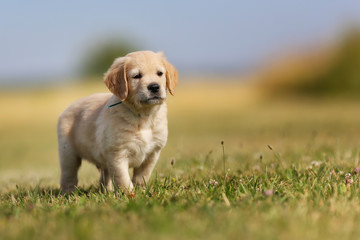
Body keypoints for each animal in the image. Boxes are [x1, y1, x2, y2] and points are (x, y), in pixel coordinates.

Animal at [56, 50, 179, 193]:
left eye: (159, 73)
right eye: (136, 76)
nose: (154, 87)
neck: (143, 116)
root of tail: (67, 108)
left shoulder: (153, 153)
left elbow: (142, 176)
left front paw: (141, 191)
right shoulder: (117, 153)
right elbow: (123, 178)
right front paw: (129, 194)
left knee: (105, 175)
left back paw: (106, 191)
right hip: (68, 153)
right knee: (69, 175)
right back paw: (69, 193)